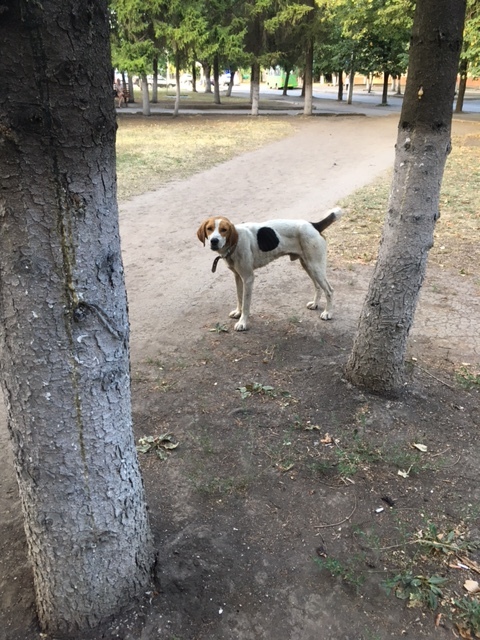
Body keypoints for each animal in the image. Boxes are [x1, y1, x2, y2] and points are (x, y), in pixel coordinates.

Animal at [197, 209, 344, 332]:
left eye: (224, 230)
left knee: (329, 290)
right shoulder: (238, 277)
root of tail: (314, 225)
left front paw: (243, 322)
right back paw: (315, 304)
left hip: (315, 267)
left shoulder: (248, 279)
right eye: (209, 229)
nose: (214, 241)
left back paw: (328, 313)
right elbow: (239, 298)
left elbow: (246, 304)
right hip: (308, 265)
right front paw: (238, 312)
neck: (235, 243)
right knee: (318, 286)